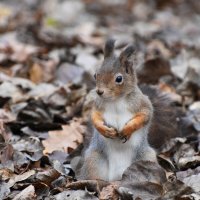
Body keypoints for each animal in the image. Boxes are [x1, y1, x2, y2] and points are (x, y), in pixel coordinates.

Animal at [70, 38, 178, 181]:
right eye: (95, 75)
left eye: (119, 78)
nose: (99, 91)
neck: (116, 100)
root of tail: (117, 177)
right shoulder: (98, 106)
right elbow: (95, 117)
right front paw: (104, 130)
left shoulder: (143, 104)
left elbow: (145, 116)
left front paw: (128, 129)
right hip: (94, 159)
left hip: (146, 157)